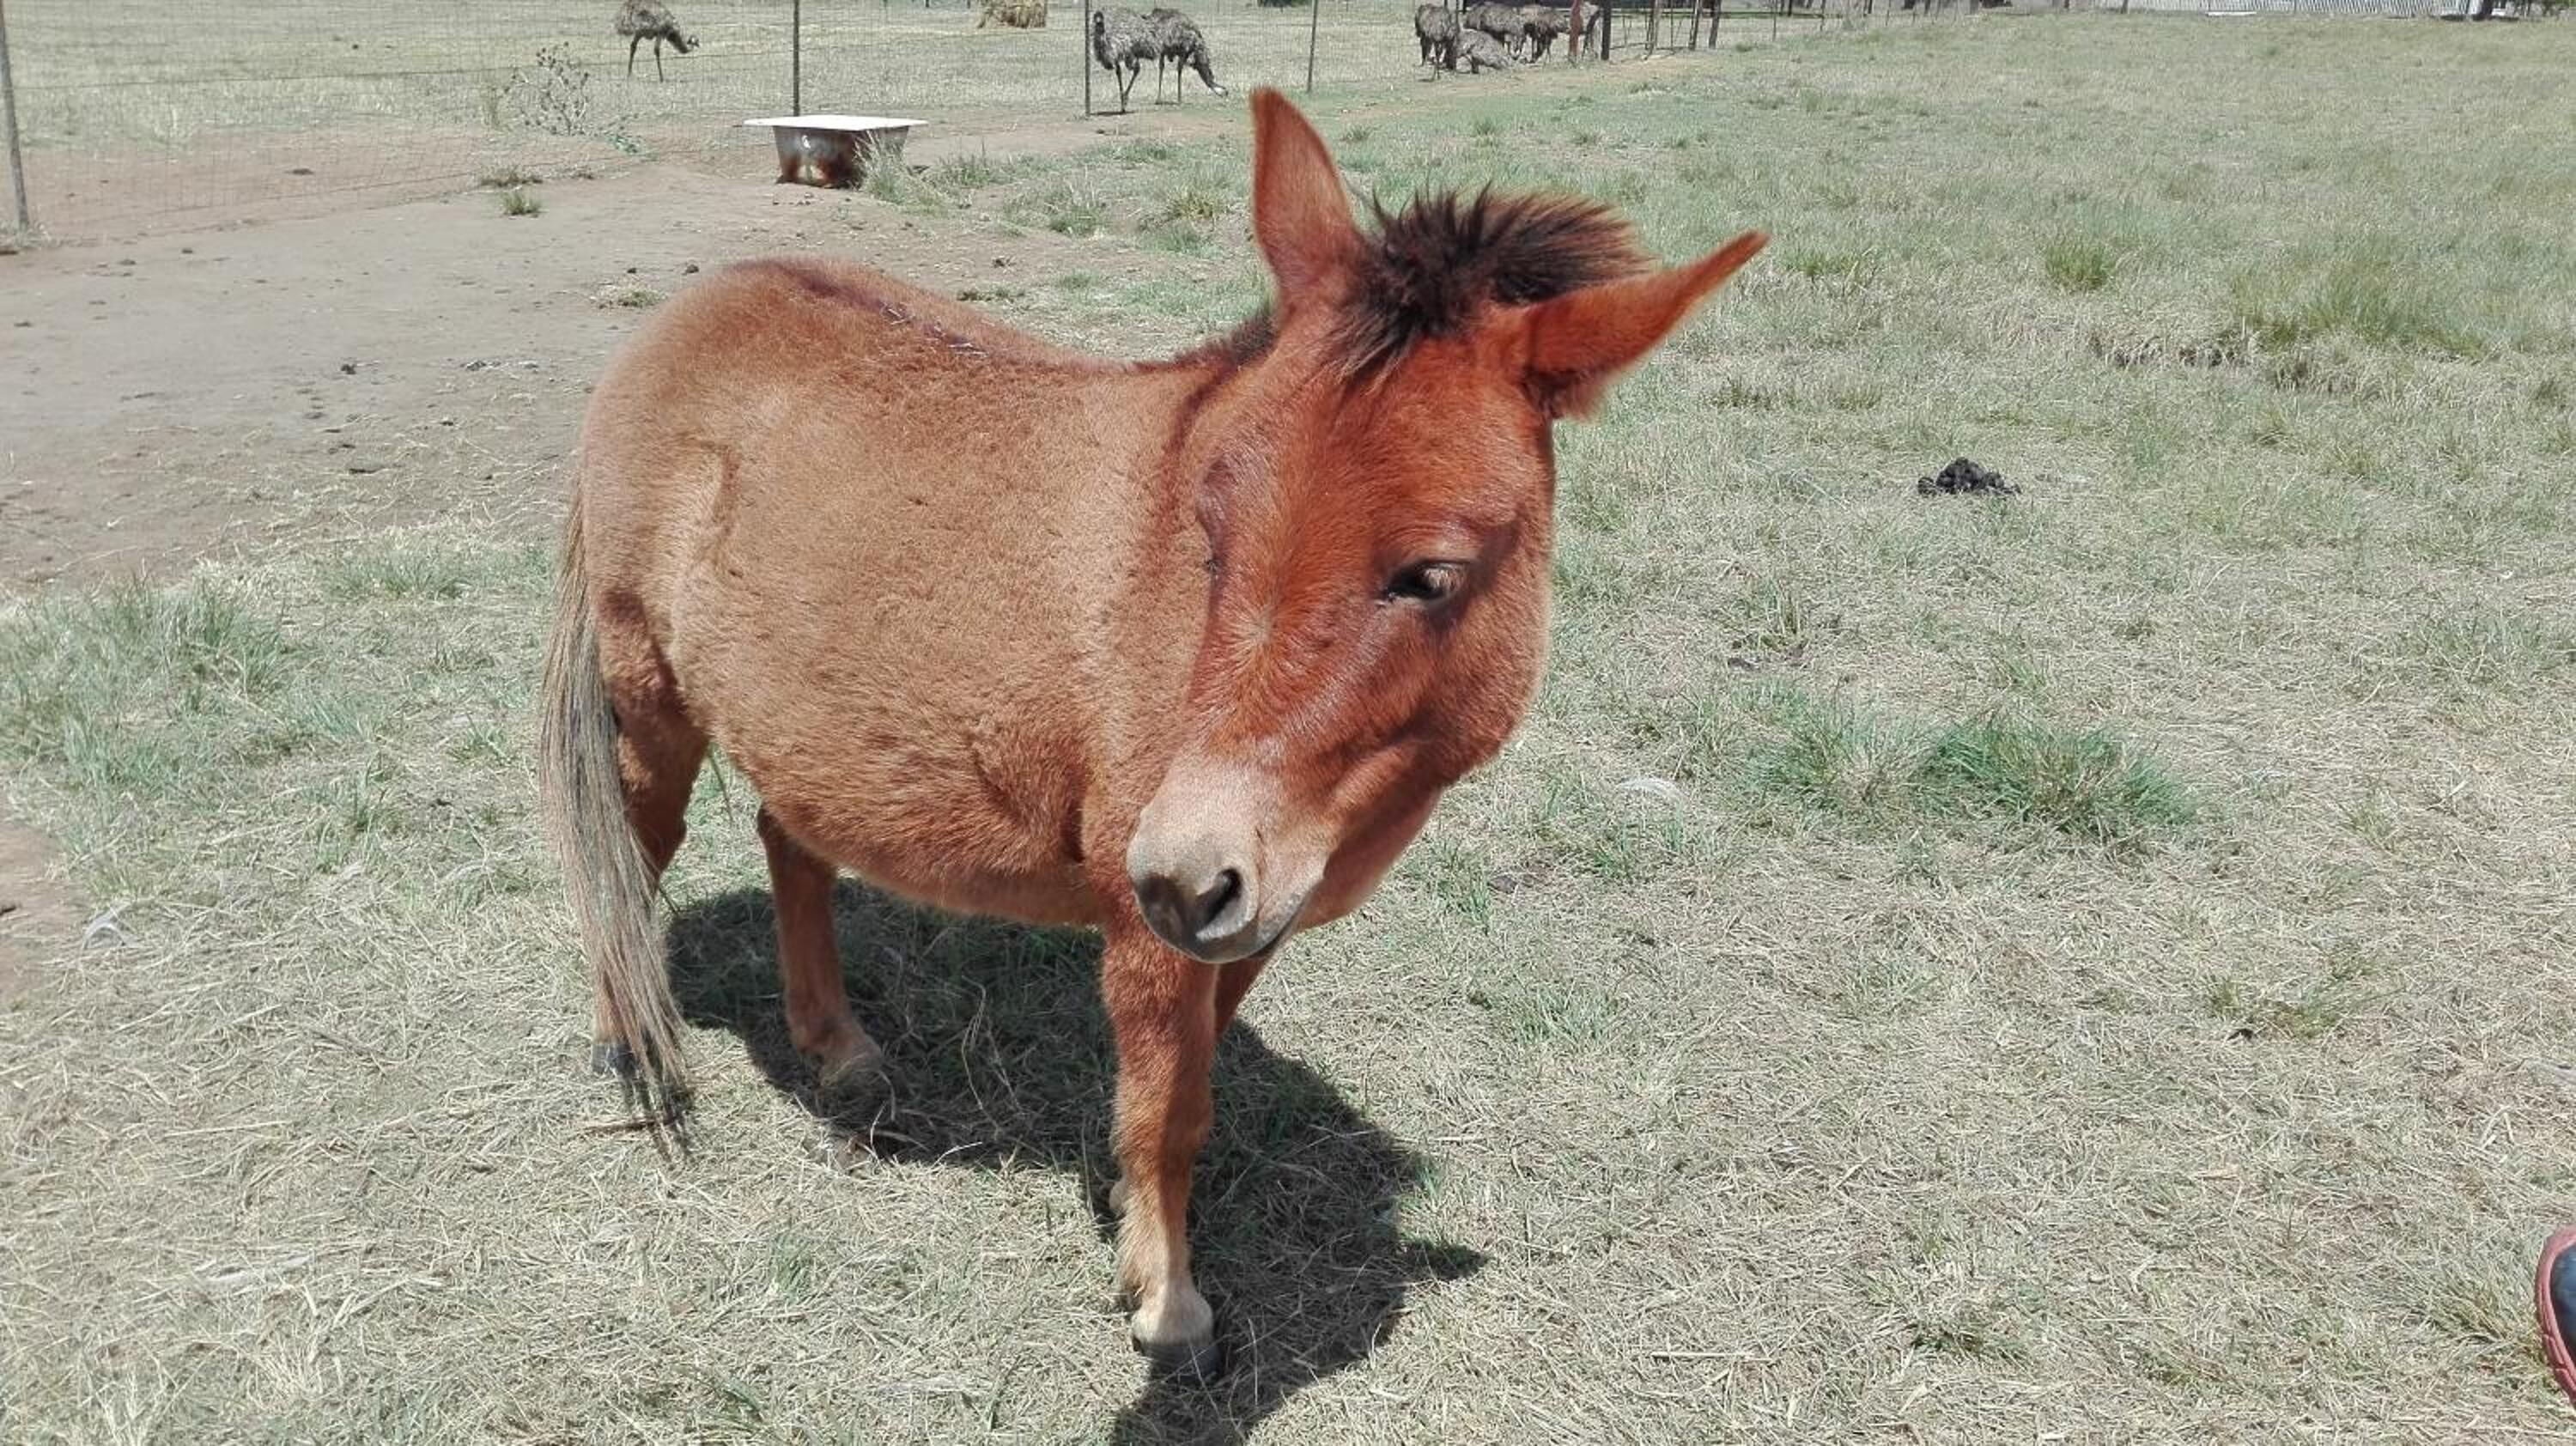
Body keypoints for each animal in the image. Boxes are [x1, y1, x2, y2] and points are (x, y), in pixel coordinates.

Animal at [539, 89, 1763, 1375]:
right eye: (1211, 535)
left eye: (1430, 576)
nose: (1181, 865)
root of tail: (685, 313)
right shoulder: (1155, 930)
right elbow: (1162, 1112)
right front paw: (1168, 1300)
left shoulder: (1245, 921)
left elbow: (1195, 1093)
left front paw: (1148, 1236)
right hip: (647, 701)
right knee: (631, 856)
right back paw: (625, 1041)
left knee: (792, 846)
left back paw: (837, 1046)